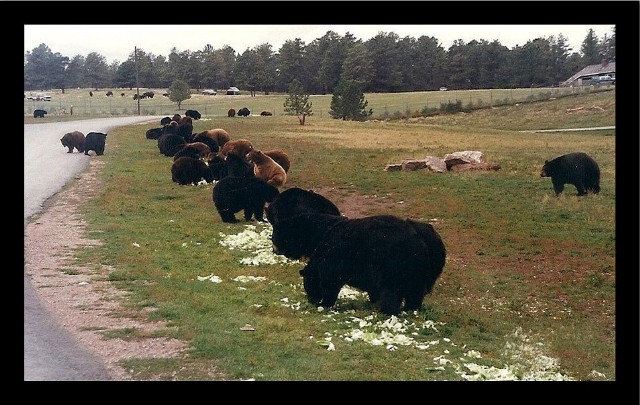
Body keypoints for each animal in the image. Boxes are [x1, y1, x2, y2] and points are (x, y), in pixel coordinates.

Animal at [289, 213, 447, 316]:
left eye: (308, 285)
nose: (311, 301)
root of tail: (420, 238)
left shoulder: (334, 263)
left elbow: (330, 285)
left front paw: (325, 303)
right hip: (424, 269)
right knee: (415, 291)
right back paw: (409, 308)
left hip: (394, 264)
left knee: (392, 291)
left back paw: (387, 311)